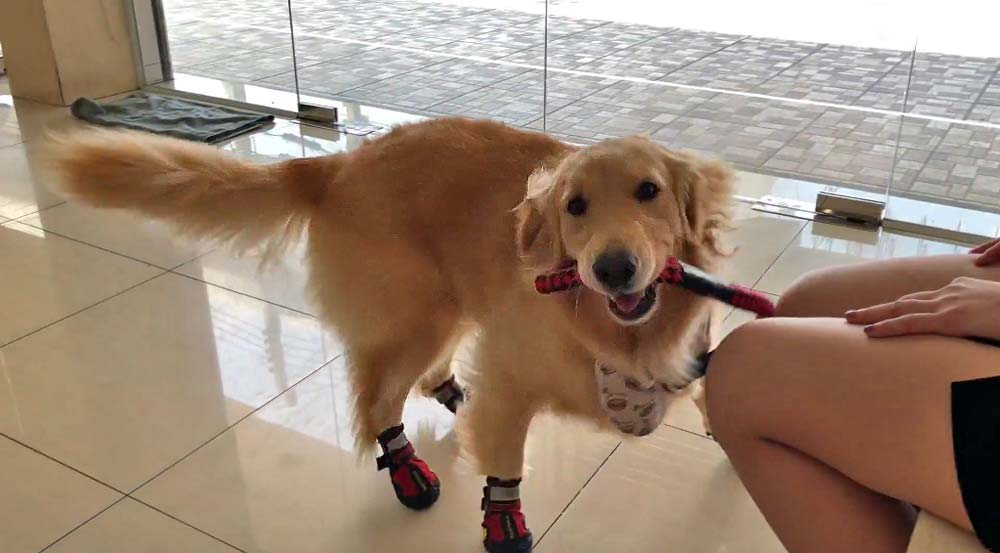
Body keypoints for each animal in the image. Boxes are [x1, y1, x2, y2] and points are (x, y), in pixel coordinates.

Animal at [47, 117, 732, 552]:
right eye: (575, 206)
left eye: (649, 191)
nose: (612, 268)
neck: (618, 337)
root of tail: (337, 164)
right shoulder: (510, 379)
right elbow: (505, 466)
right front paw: (504, 524)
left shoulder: (696, 354)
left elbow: (711, 386)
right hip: (417, 315)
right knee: (375, 402)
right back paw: (406, 465)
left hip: (448, 303)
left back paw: (450, 393)